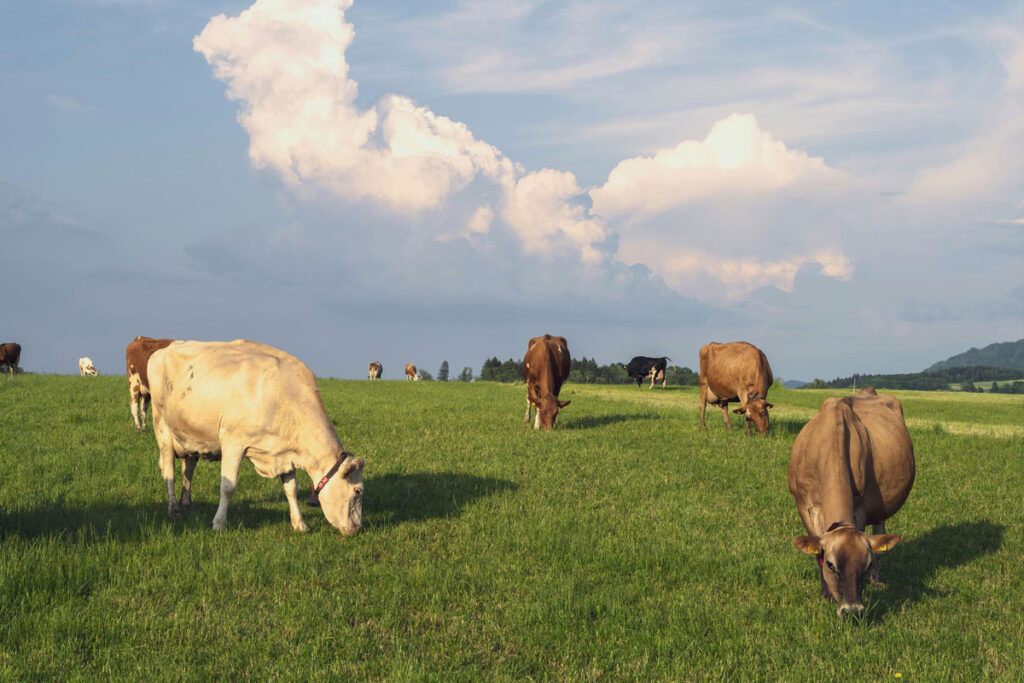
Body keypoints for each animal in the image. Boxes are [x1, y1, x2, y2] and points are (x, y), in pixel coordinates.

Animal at [148, 339, 365, 535]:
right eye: (358, 491)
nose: (356, 529)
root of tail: (164, 349)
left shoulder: (285, 452)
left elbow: (291, 489)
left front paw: (300, 524)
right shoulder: (233, 442)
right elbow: (228, 487)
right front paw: (219, 524)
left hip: (189, 437)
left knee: (188, 469)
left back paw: (186, 504)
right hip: (163, 429)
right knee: (168, 472)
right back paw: (174, 510)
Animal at [788, 387, 915, 616]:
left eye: (865, 565)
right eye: (831, 565)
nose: (853, 611)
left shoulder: (860, 508)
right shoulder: (804, 506)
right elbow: (815, 552)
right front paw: (826, 595)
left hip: (881, 507)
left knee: (880, 530)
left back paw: (878, 579)